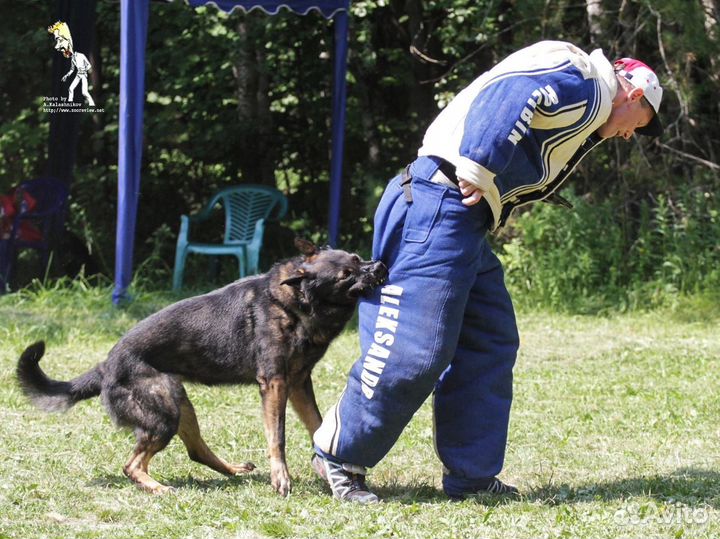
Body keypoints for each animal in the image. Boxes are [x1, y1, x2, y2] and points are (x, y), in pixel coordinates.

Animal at [14, 240, 386, 498]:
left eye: (357, 259)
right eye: (345, 276)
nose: (381, 266)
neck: (297, 302)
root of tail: (105, 365)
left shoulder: (297, 384)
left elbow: (318, 425)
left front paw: (328, 465)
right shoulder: (275, 384)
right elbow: (277, 437)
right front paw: (282, 477)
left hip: (180, 404)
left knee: (197, 451)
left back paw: (234, 469)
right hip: (164, 413)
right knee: (132, 465)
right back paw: (158, 488)